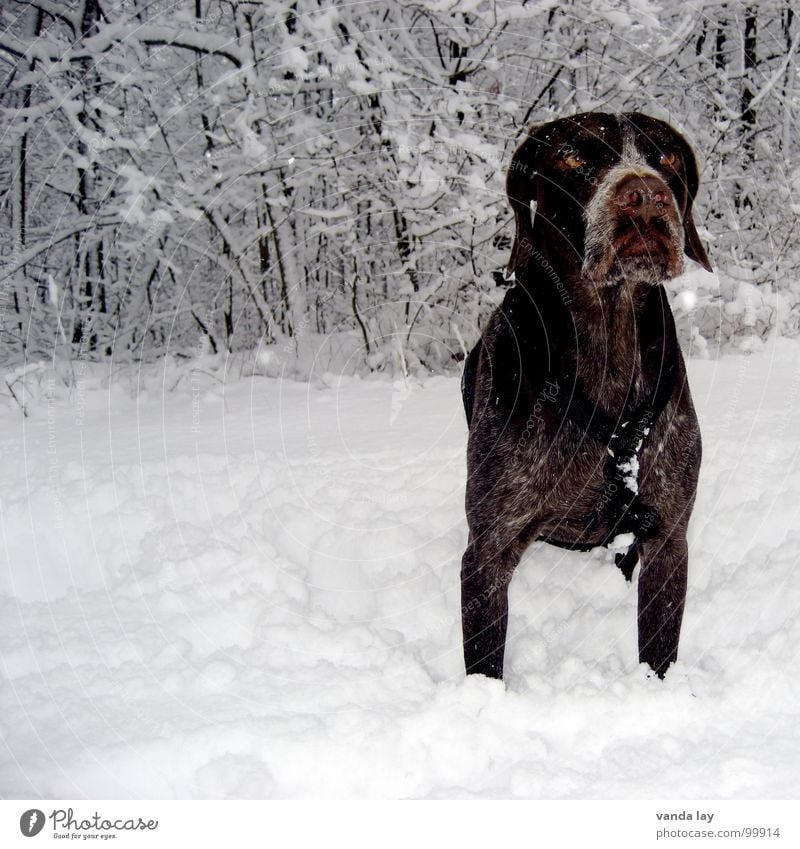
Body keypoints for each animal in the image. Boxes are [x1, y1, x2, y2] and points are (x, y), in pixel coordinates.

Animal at [462, 114, 712, 684]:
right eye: (573, 155)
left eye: (666, 156)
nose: (646, 196)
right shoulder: (487, 552)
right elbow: (484, 663)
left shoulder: (668, 537)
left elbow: (659, 651)